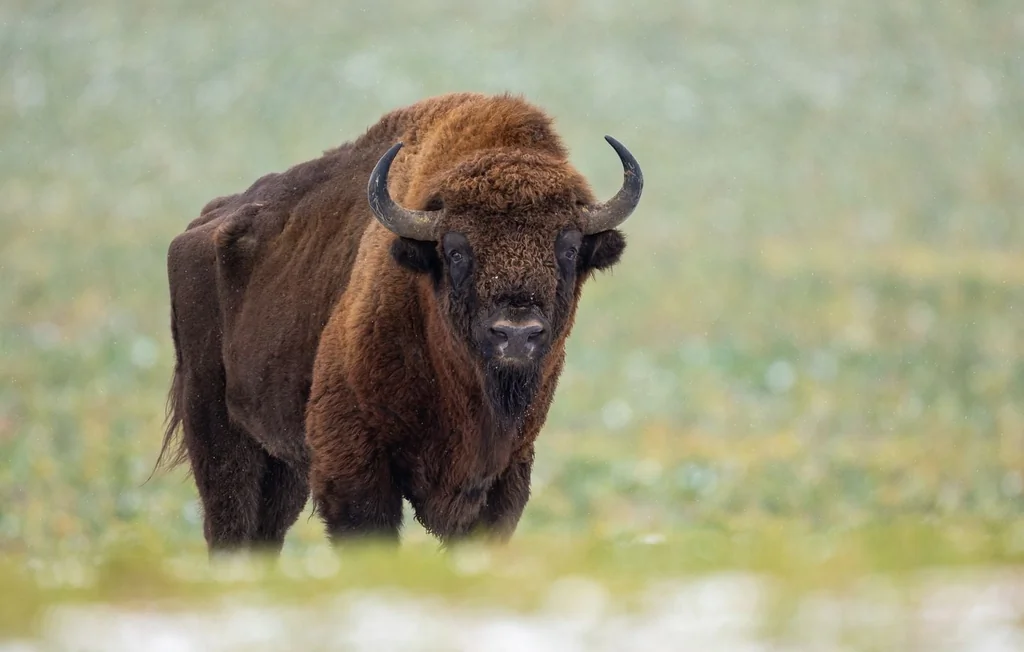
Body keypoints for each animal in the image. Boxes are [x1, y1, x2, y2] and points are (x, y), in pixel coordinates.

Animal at [156, 92, 643, 553]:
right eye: (455, 249)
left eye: (569, 247)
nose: (516, 334)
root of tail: (200, 226)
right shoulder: (352, 460)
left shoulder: (504, 473)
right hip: (218, 432)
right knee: (230, 525)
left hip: (280, 461)